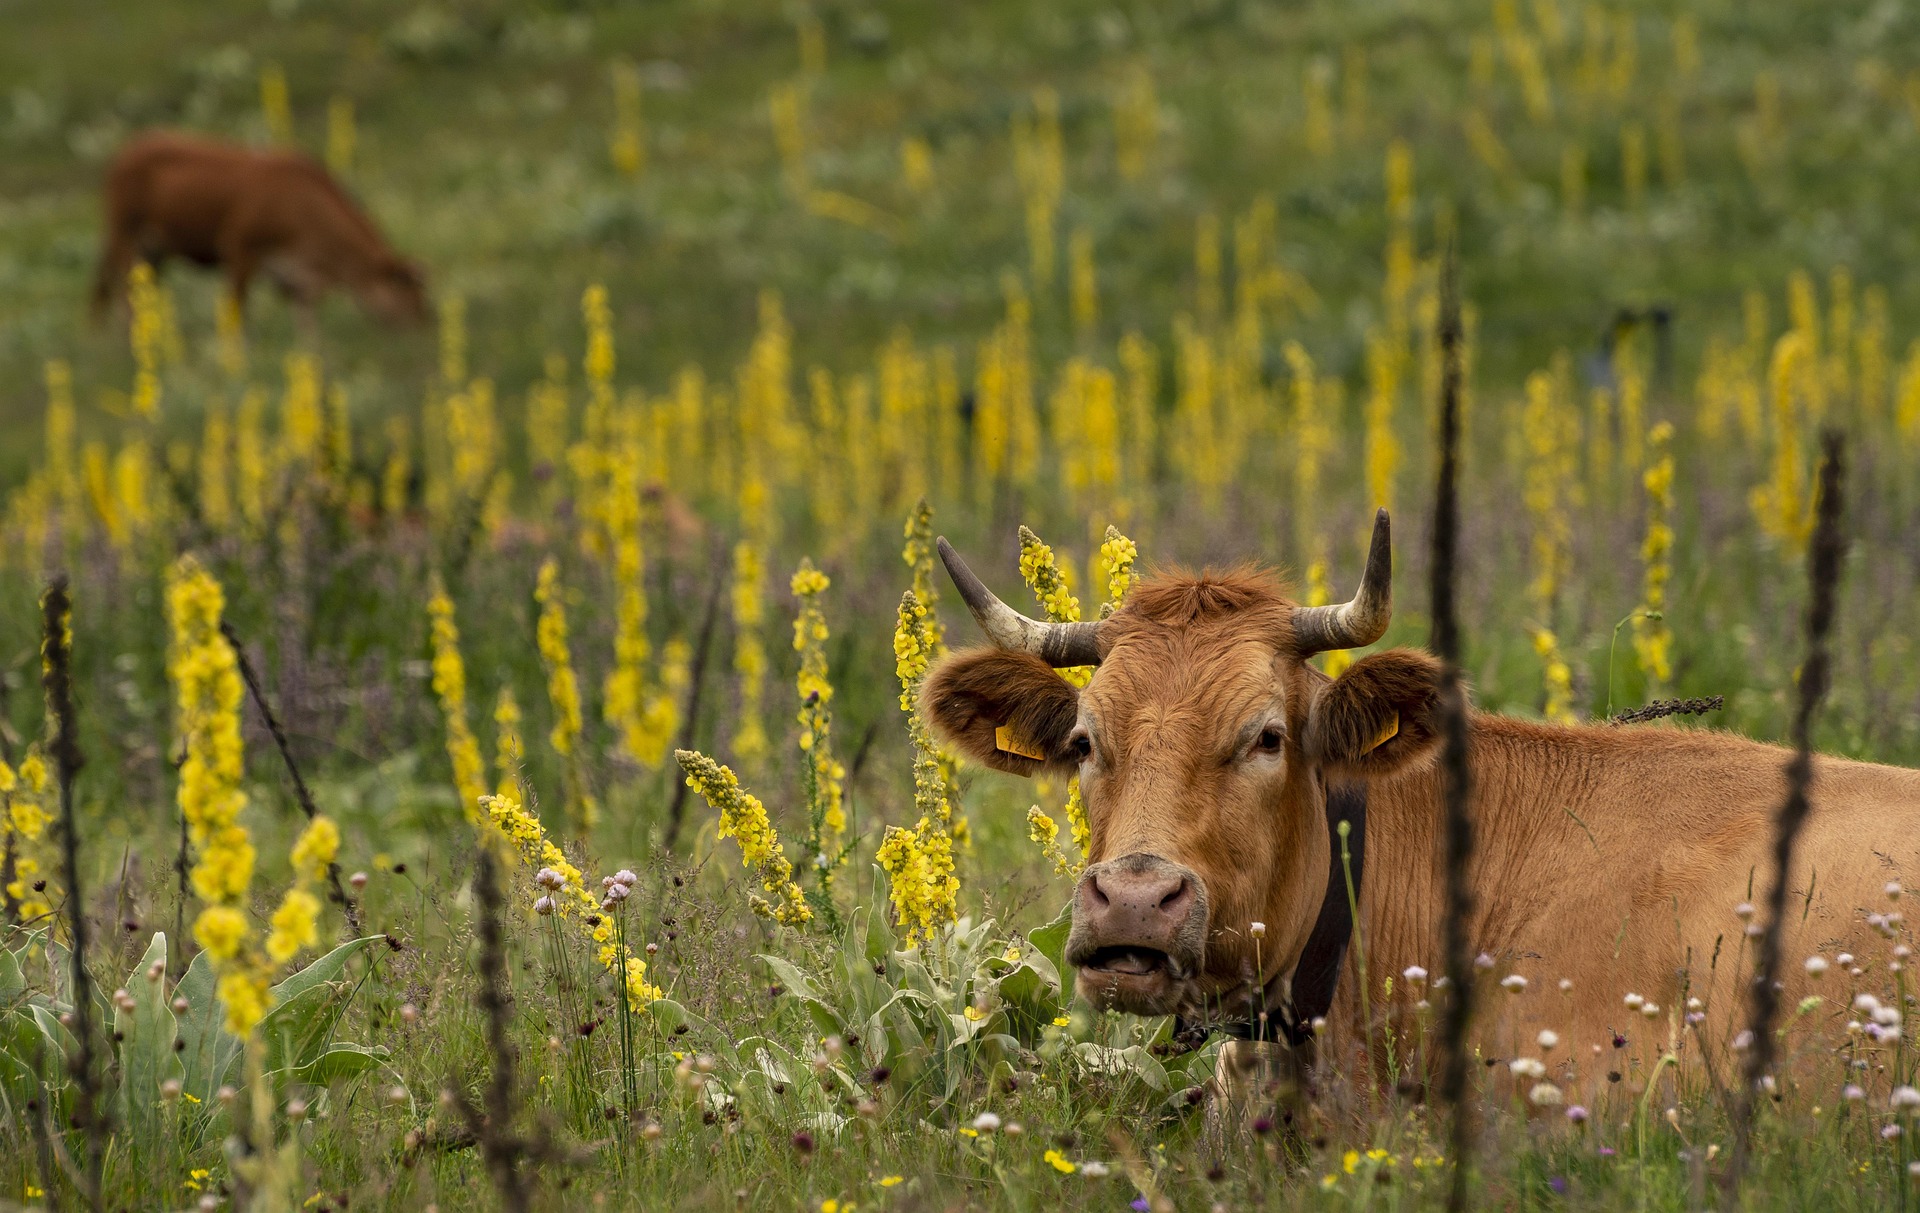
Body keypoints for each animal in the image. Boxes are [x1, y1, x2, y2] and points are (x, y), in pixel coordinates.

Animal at [92, 129, 428, 332]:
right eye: (410, 292)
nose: (426, 323)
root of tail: (127, 150)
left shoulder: (296, 281)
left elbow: (309, 332)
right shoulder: (241, 252)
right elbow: (236, 315)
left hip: (155, 253)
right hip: (125, 238)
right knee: (120, 292)